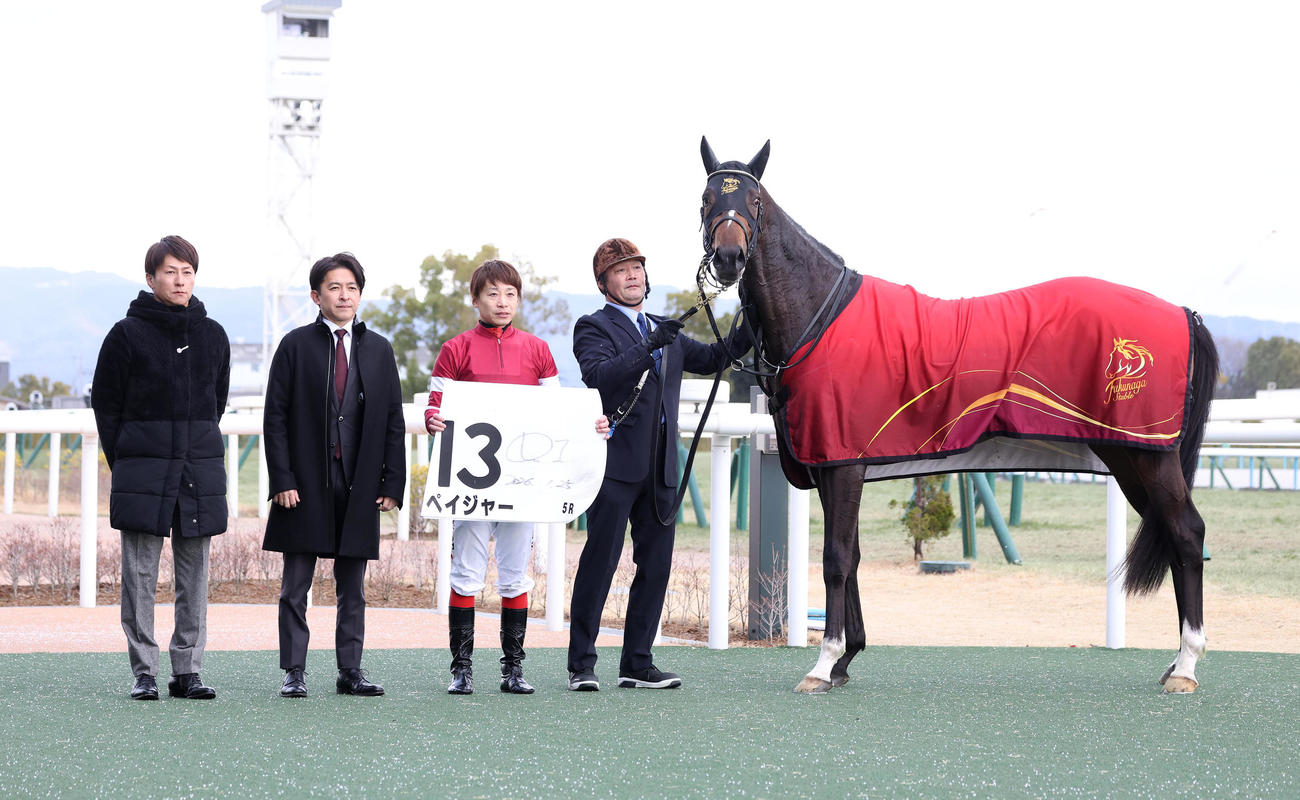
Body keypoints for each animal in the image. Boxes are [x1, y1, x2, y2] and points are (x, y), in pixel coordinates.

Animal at [697, 137, 1219, 694]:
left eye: (753, 201)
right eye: (706, 199)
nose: (728, 258)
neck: (822, 315)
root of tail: (1183, 313)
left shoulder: (843, 465)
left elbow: (836, 559)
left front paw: (823, 664)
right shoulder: (841, 466)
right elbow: (852, 556)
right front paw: (845, 660)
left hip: (1150, 457)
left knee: (1187, 533)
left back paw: (1187, 666)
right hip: (1129, 457)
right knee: (1175, 535)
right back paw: (1176, 664)